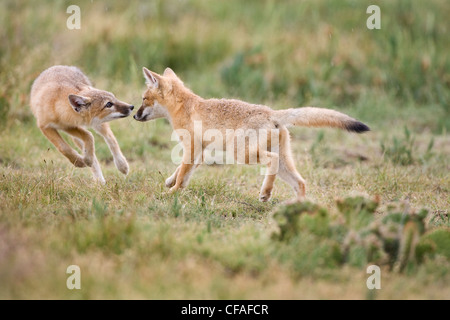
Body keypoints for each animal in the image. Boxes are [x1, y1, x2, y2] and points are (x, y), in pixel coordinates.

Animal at [134, 67, 370, 201]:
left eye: (144, 99)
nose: (135, 115)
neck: (185, 106)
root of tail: (271, 112)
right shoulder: (199, 152)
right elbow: (182, 173)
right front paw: (170, 183)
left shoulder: (192, 148)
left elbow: (183, 173)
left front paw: (171, 193)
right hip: (282, 162)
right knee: (301, 182)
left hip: (243, 154)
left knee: (271, 162)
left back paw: (265, 193)